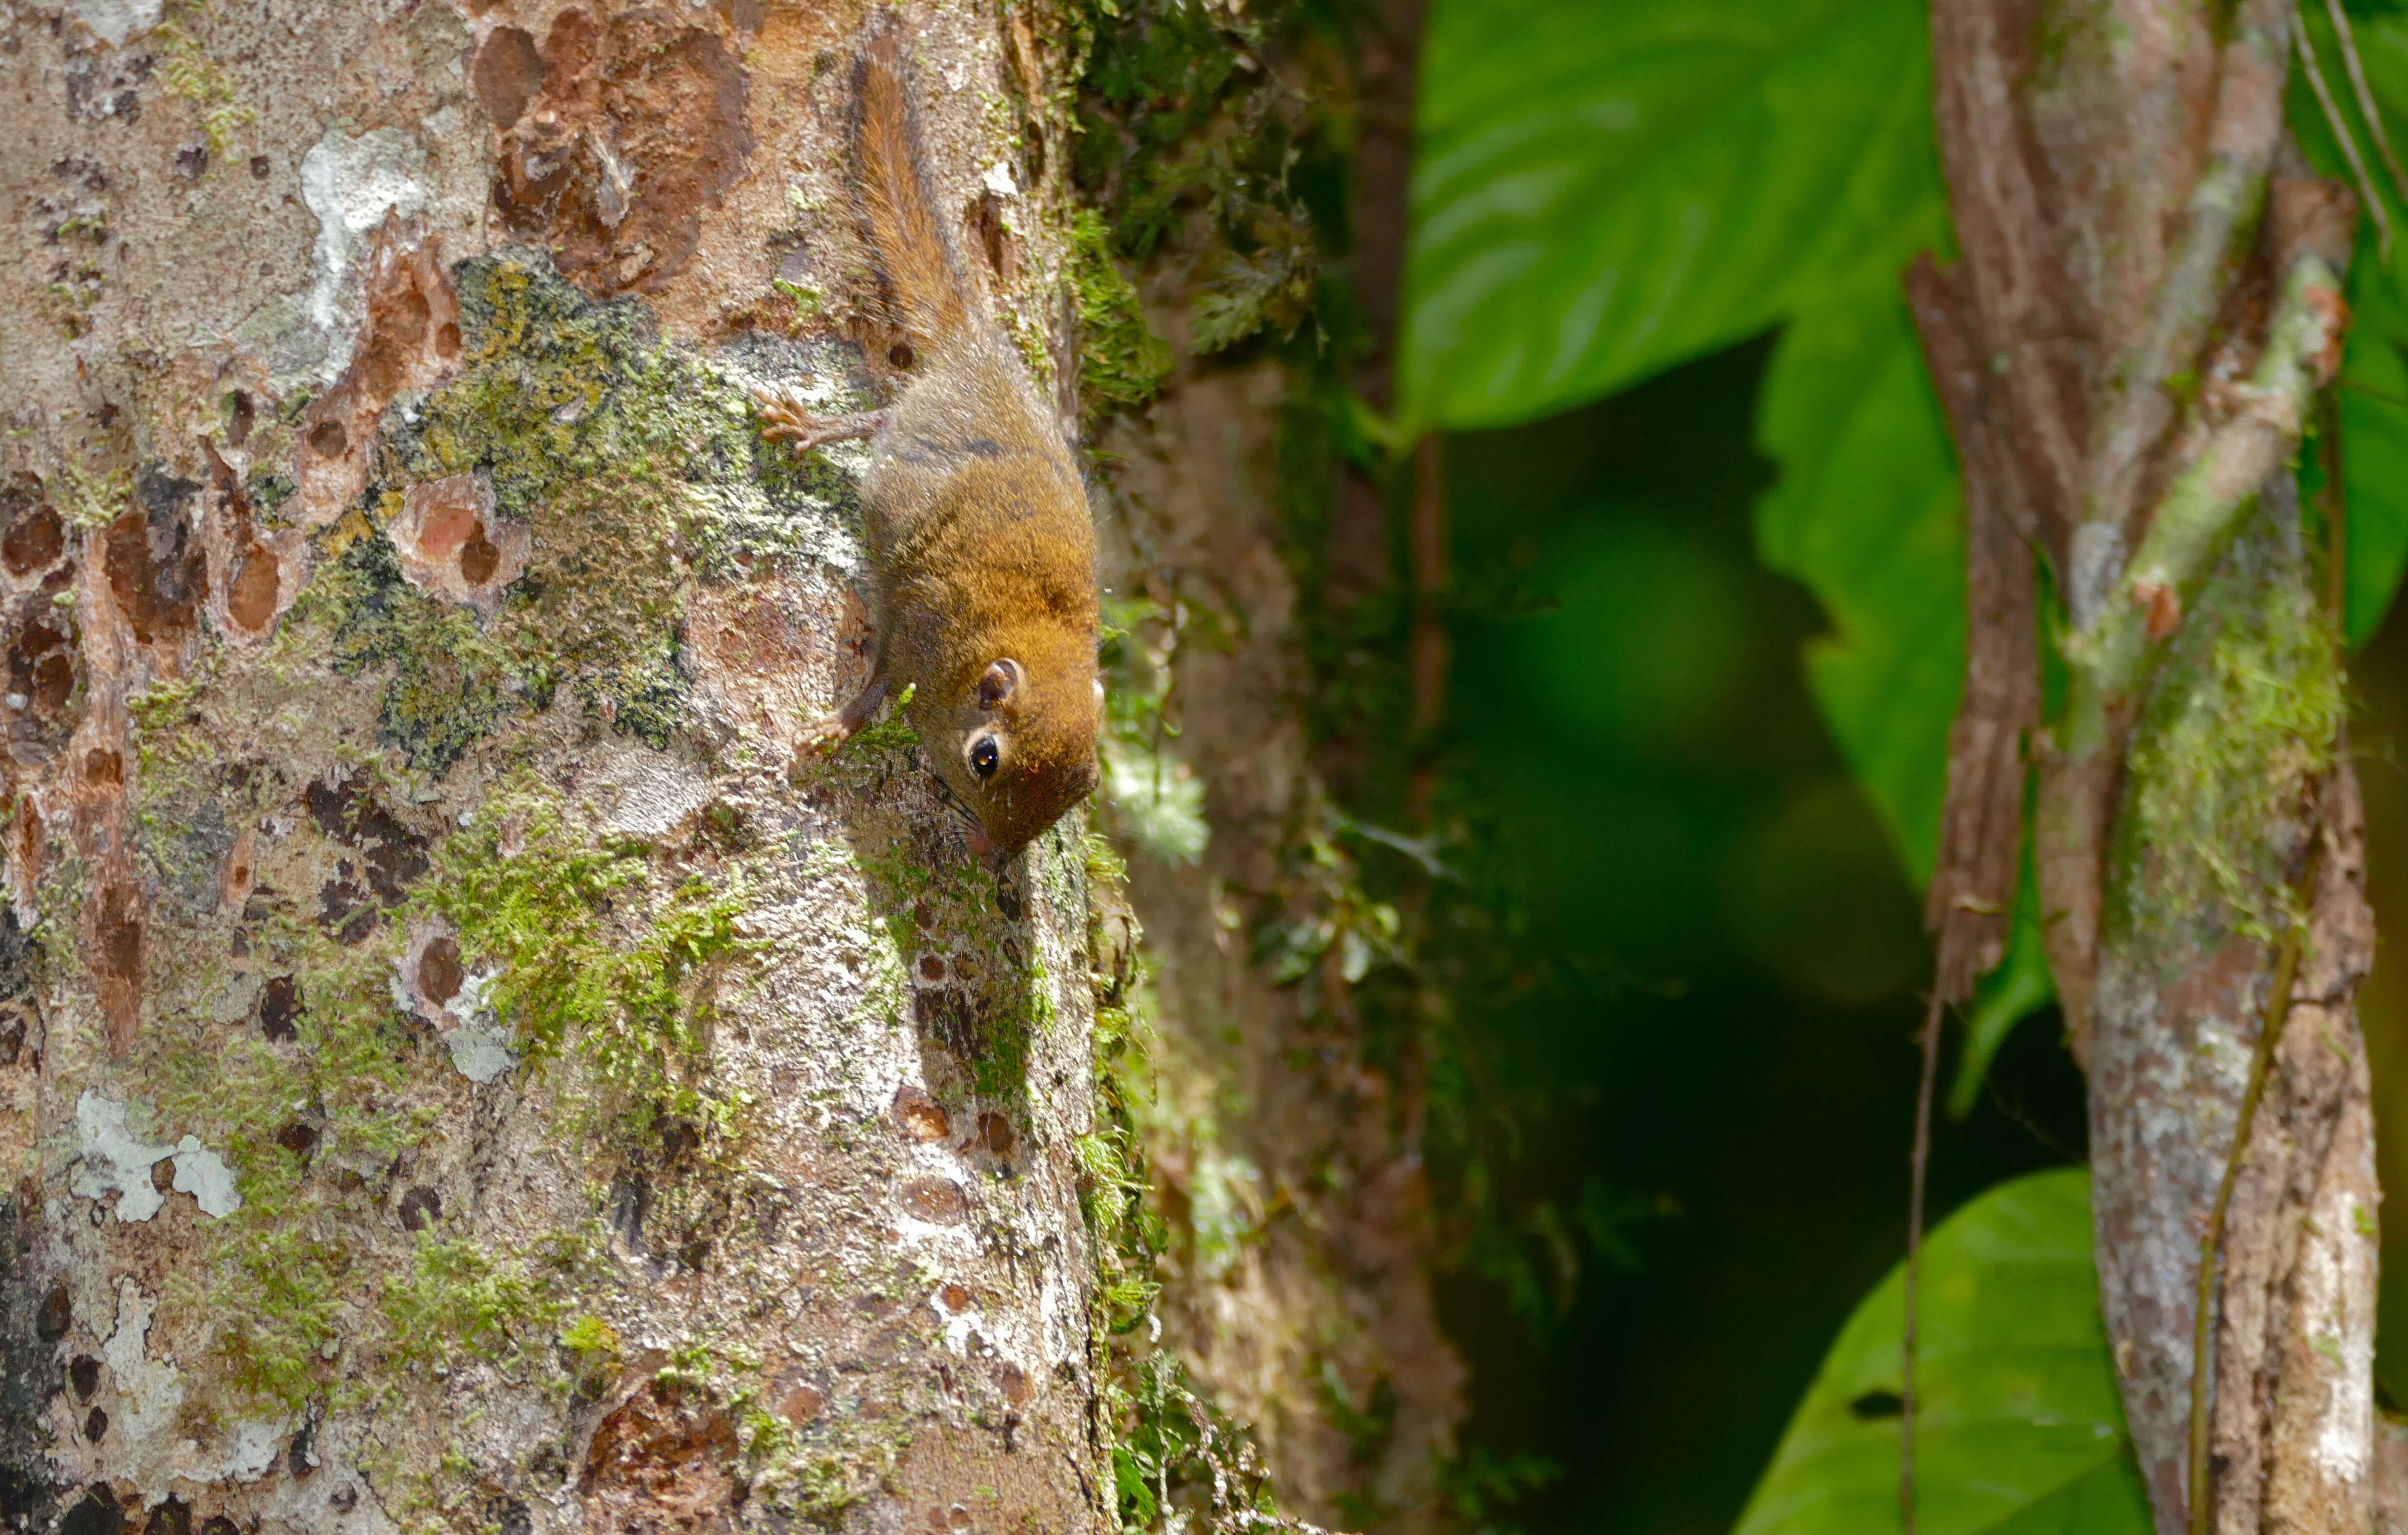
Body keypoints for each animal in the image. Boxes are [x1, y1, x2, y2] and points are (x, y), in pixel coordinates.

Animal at [751, 21, 1102, 862]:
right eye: (986, 759)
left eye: (1074, 800)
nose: (991, 853)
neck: (1020, 628)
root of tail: (978, 346)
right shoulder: (917, 631)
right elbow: (878, 684)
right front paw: (837, 726)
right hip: (911, 428)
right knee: (872, 424)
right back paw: (811, 428)